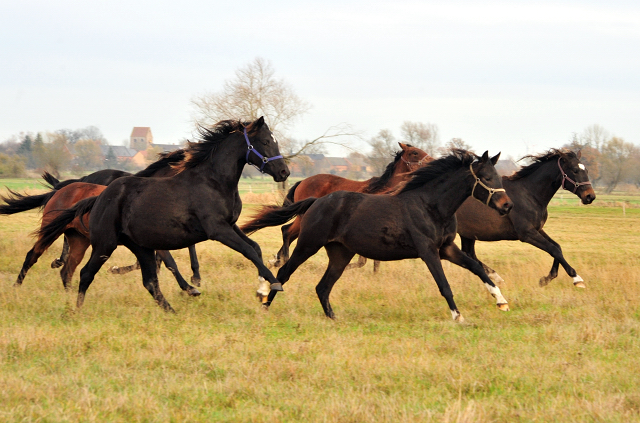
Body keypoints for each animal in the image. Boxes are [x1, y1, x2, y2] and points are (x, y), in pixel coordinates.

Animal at [32, 117, 288, 314]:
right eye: (266, 141)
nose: (284, 172)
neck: (213, 181)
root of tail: (100, 197)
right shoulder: (218, 229)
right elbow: (247, 251)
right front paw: (274, 284)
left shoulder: (230, 225)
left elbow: (255, 248)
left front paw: (262, 290)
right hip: (105, 244)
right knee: (84, 273)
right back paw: (76, 310)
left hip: (140, 246)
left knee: (149, 282)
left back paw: (171, 311)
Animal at [270, 142, 430, 268]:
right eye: (415, 152)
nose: (432, 160)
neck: (384, 190)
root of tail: (302, 181)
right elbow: (362, 261)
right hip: (305, 218)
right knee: (287, 231)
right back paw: (283, 260)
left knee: (289, 233)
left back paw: (277, 260)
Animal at [456, 148, 596, 288]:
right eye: (575, 170)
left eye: (586, 170)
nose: (590, 196)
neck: (529, 194)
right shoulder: (527, 233)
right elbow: (553, 250)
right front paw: (577, 278)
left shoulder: (537, 229)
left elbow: (557, 247)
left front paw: (546, 279)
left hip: (468, 234)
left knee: (469, 254)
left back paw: (497, 278)